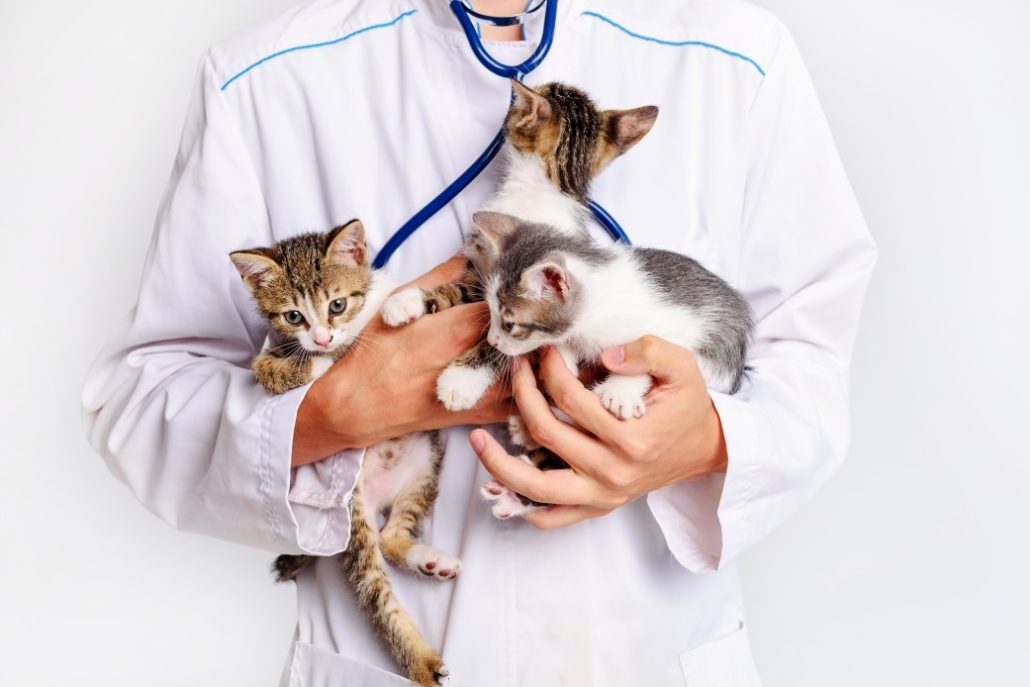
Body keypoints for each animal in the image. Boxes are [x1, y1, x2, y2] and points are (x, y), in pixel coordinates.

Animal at [233, 221, 459, 687]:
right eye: (293, 316)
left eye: (337, 304)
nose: (322, 336)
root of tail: (375, 498)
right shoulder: (270, 357)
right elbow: (276, 370)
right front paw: (321, 362)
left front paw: (403, 307)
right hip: (350, 513)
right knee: (374, 585)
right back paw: (422, 663)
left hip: (424, 467)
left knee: (392, 537)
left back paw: (427, 559)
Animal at [381, 80, 659, 414]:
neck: (541, 191)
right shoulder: (485, 271)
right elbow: (459, 289)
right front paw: (408, 301)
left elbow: (507, 340)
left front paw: (461, 380)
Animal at [469, 212, 758, 519]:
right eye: (491, 312)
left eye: (509, 324)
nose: (493, 340)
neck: (597, 309)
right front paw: (563, 360)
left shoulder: (683, 333)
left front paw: (621, 392)